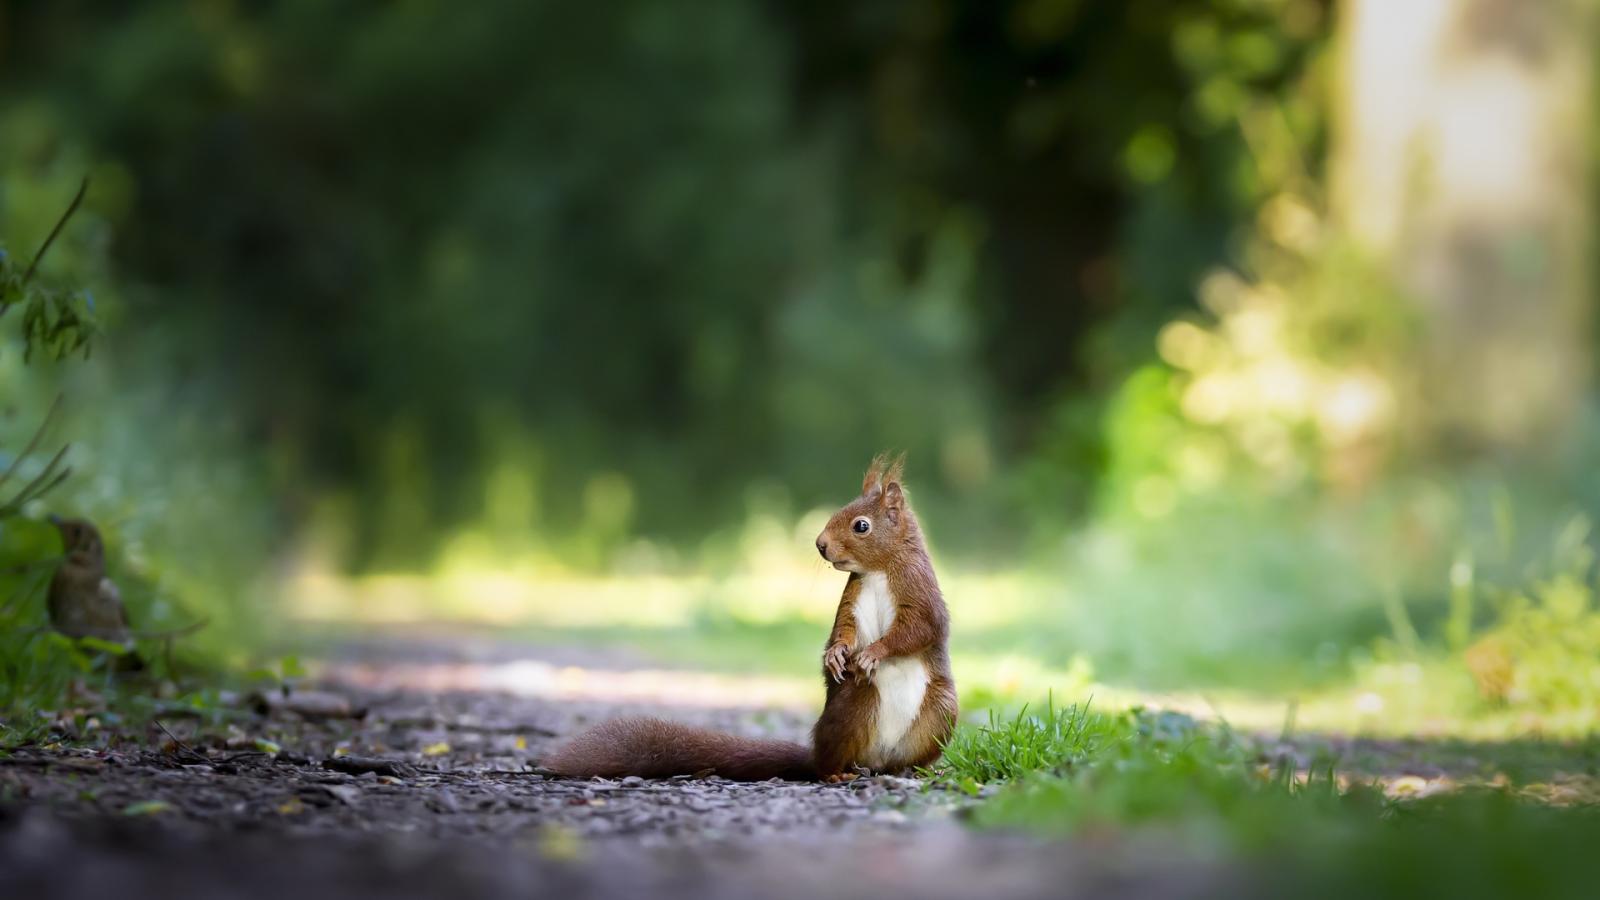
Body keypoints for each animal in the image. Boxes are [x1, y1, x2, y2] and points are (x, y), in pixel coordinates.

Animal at [544, 453, 957, 782]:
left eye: (861, 525)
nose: (820, 545)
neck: (878, 571)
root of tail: (875, 760)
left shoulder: (919, 592)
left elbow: (918, 629)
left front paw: (873, 653)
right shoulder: (851, 599)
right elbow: (844, 629)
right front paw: (835, 655)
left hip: (940, 711)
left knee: (904, 755)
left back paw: (913, 769)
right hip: (855, 705)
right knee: (830, 761)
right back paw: (837, 772)